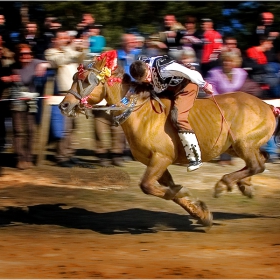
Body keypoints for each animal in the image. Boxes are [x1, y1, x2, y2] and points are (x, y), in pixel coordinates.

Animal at [59, 51, 280, 229]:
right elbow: (167, 188)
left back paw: (224, 184)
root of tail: (268, 106)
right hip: (235, 146)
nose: (64, 105)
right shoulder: (155, 163)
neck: (141, 115)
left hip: (244, 144)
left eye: (86, 80)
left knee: (256, 165)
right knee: (261, 159)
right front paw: (201, 213)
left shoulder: (161, 158)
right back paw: (245, 185)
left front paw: (186, 195)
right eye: (74, 77)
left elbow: (150, 187)